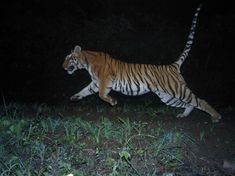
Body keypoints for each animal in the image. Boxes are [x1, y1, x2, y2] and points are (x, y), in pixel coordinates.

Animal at [62, 4, 220, 122]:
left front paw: (112, 102)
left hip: (177, 89)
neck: (86, 63)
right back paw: (184, 115)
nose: (63, 67)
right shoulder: (95, 83)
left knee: (200, 100)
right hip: (167, 96)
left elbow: (101, 94)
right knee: (189, 104)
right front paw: (74, 97)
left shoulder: (105, 80)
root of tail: (172, 65)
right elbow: (85, 90)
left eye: (68, 58)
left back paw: (216, 117)